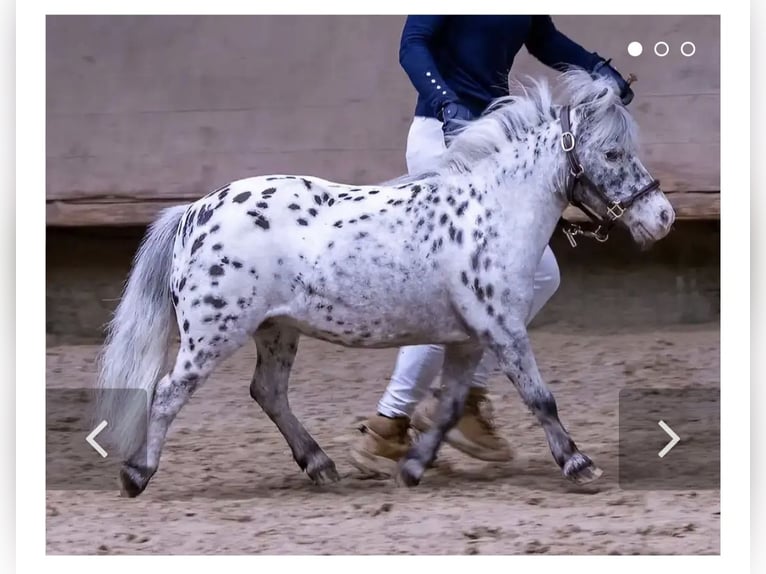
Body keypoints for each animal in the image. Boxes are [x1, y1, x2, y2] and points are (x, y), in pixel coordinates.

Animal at [95, 69, 674, 498]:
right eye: (614, 154)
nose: (663, 217)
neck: (491, 213)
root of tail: (194, 212)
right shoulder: (503, 330)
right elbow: (540, 397)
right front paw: (579, 464)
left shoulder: (469, 339)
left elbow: (449, 406)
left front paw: (413, 468)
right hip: (215, 332)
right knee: (168, 393)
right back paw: (136, 475)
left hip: (277, 330)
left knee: (268, 392)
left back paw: (321, 465)